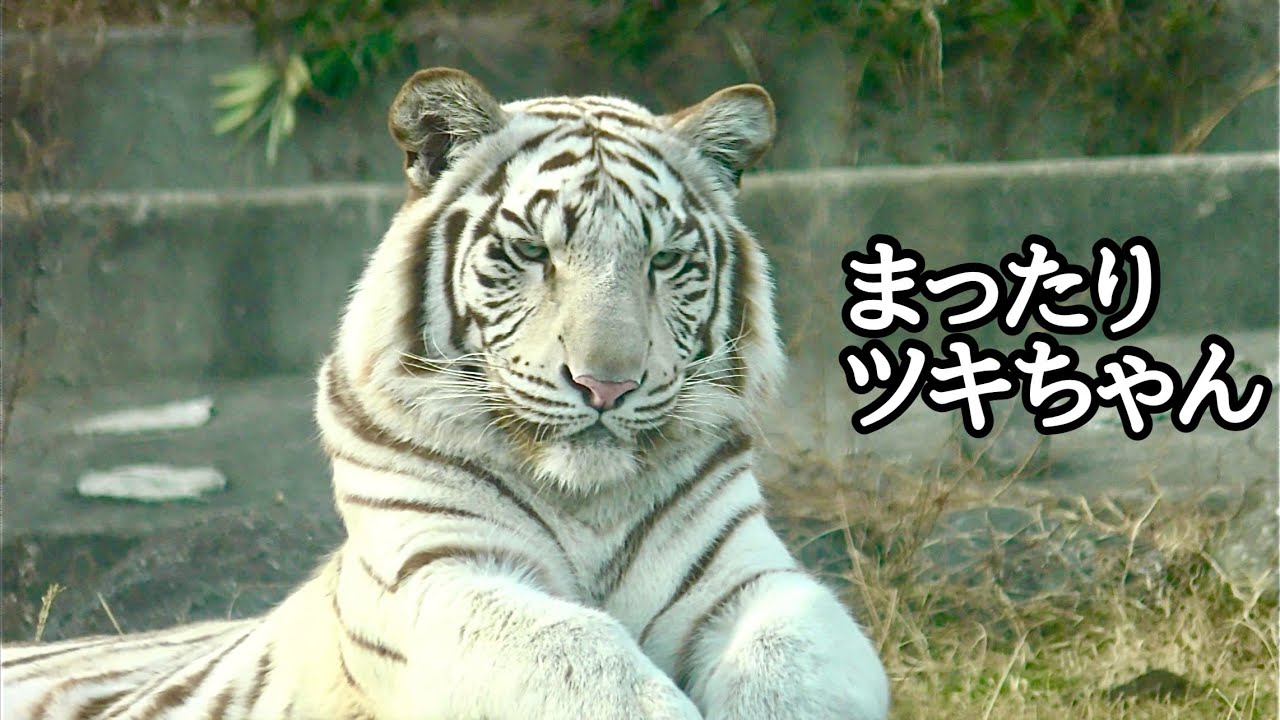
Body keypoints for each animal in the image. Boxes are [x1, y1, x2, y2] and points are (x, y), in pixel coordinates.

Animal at [1, 67, 889, 719]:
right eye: (532, 252)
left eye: (664, 260)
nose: (606, 383)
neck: (587, 502)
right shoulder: (436, 574)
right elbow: (583, 658)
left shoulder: (748, 577)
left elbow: (797, 660)